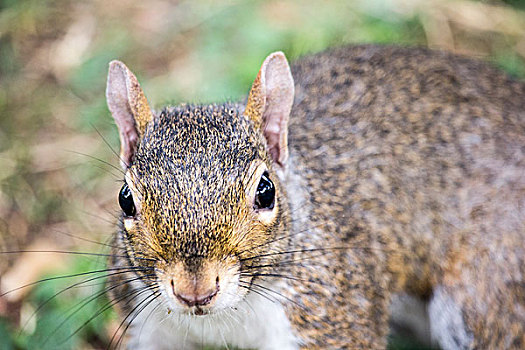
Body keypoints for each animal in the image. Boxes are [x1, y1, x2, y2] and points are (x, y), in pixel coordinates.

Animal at [103, 45, 524, 348]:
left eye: (266, 192)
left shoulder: (329, 315)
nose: (196, 292)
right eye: (125, 199)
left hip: (489, 292)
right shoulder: (149, 327)